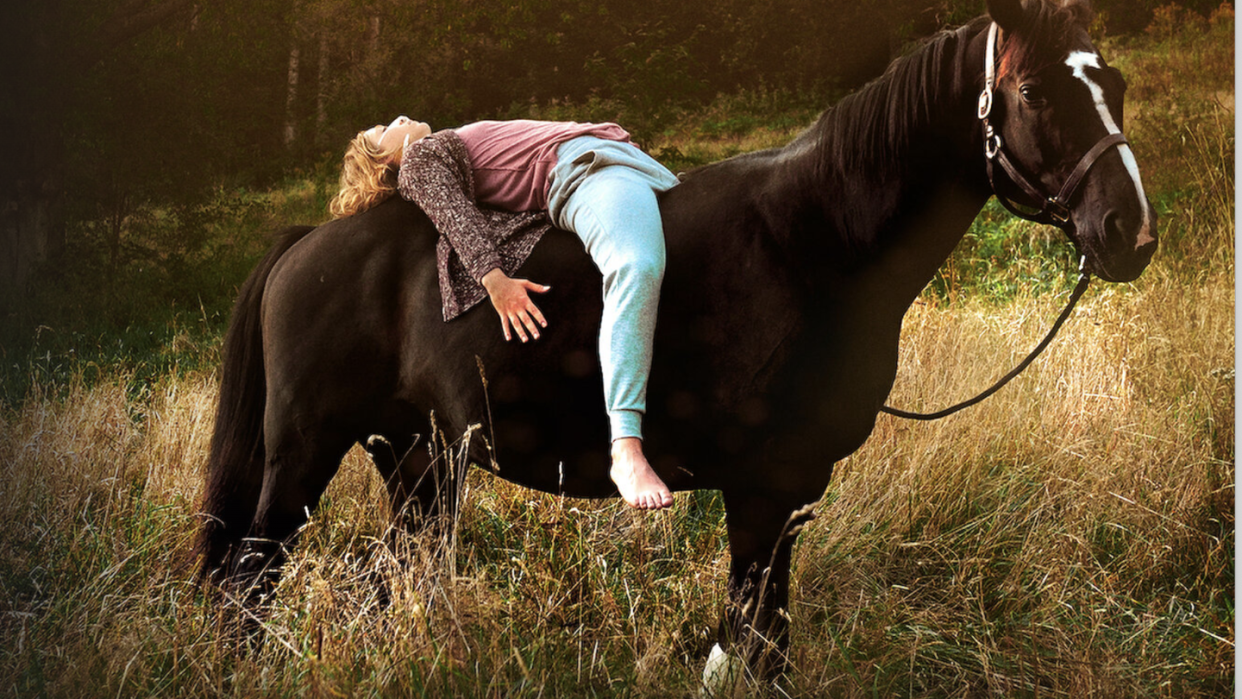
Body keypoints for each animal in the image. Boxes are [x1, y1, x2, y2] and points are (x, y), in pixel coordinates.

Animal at [191, 0, 1152, 685]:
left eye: (1115, 84)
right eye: (1034, 93)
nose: (1129, 233)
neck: (814, 241)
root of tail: (306, 244)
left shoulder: (789, 500)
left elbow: (760, 641)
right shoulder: (763, 492)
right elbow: (759, 644)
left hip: (419, 461)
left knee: (395, 579)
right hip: (304, 454)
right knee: (248, 582)